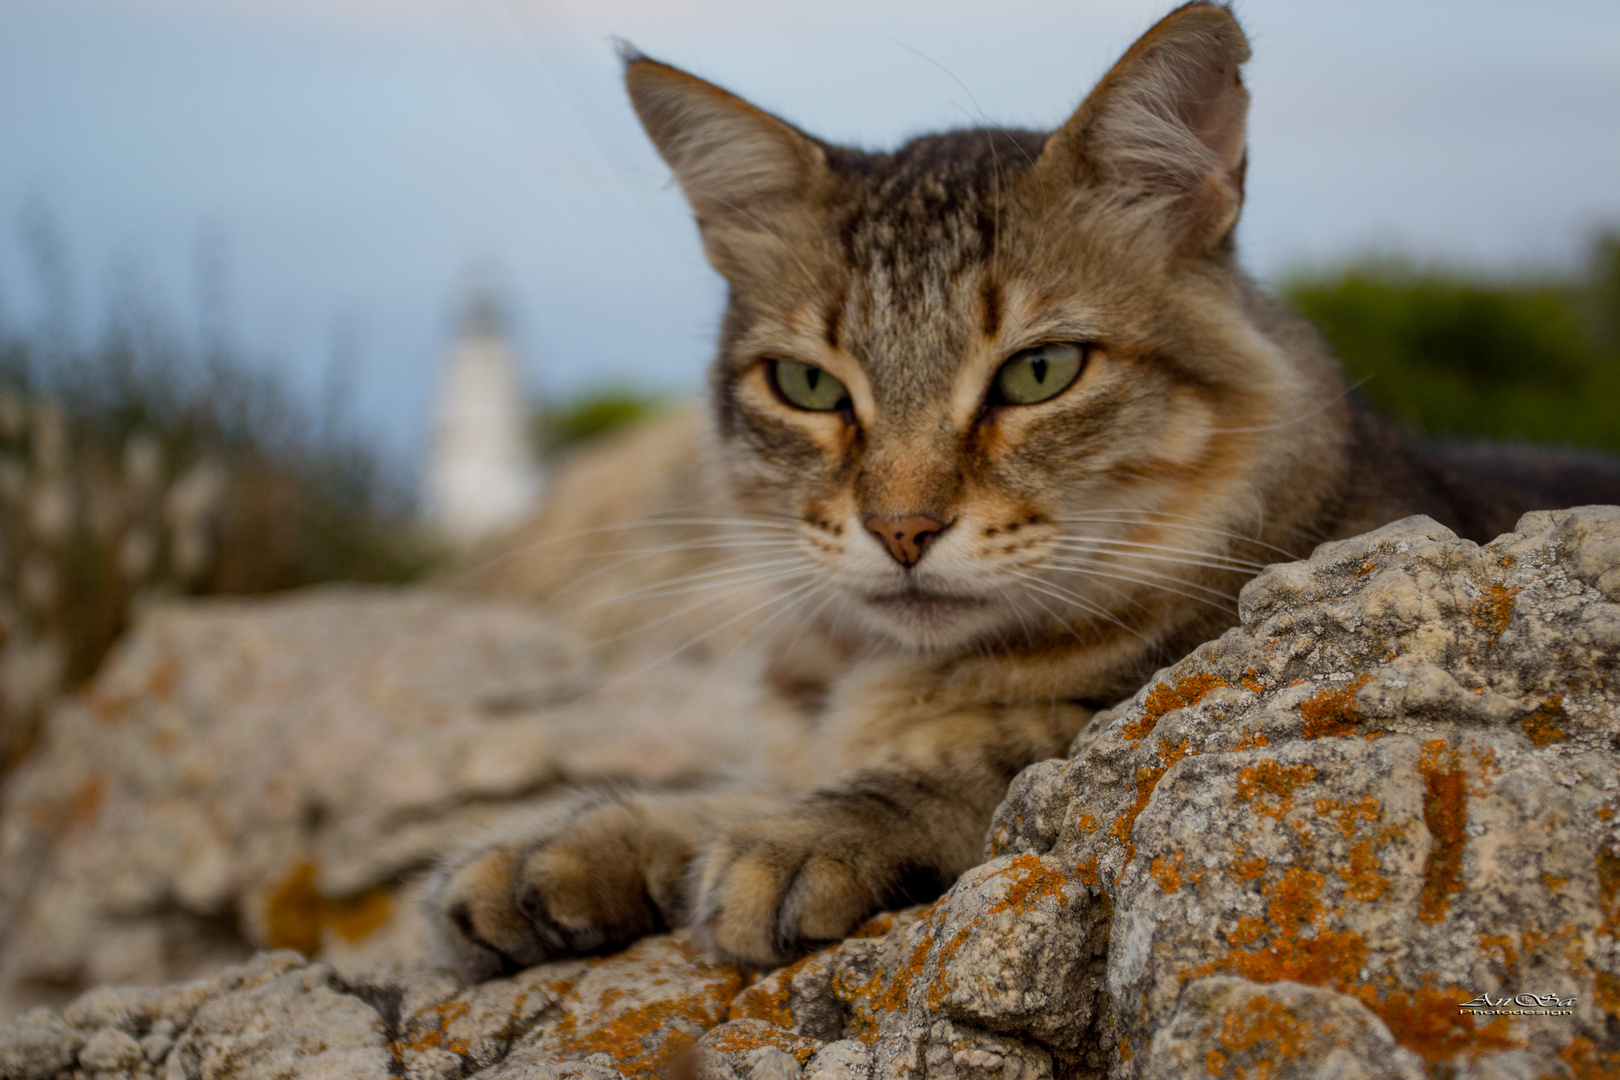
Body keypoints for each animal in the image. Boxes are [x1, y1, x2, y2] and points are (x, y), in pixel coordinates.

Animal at [421, 2, 1620, 977]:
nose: (901, 529)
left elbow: (982, 757)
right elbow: (734, 783)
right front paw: (570, 847)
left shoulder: (1138, 721)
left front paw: (799, 836)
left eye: (1039, 373)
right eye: (808, 386)